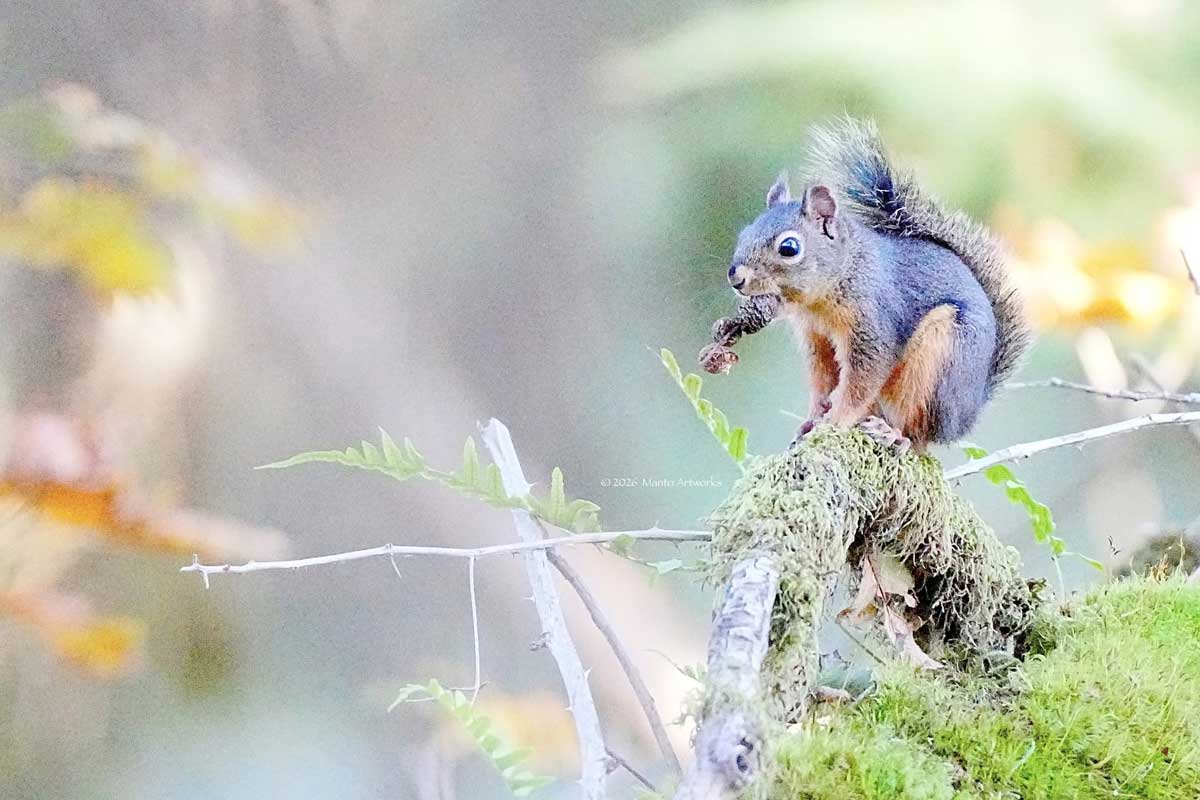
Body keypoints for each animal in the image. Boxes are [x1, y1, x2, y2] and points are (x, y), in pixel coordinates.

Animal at [700, 118, 1030, 452]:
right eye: (744, 233)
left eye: (789, 248)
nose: (736, 278)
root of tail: (967, 416)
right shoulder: (817, 340)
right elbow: (822, 382)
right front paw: (812, 418)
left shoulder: (874, 328)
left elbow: (860, 384)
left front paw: (834, 421)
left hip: (940, 358)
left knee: (918, 434)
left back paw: (895, 435)